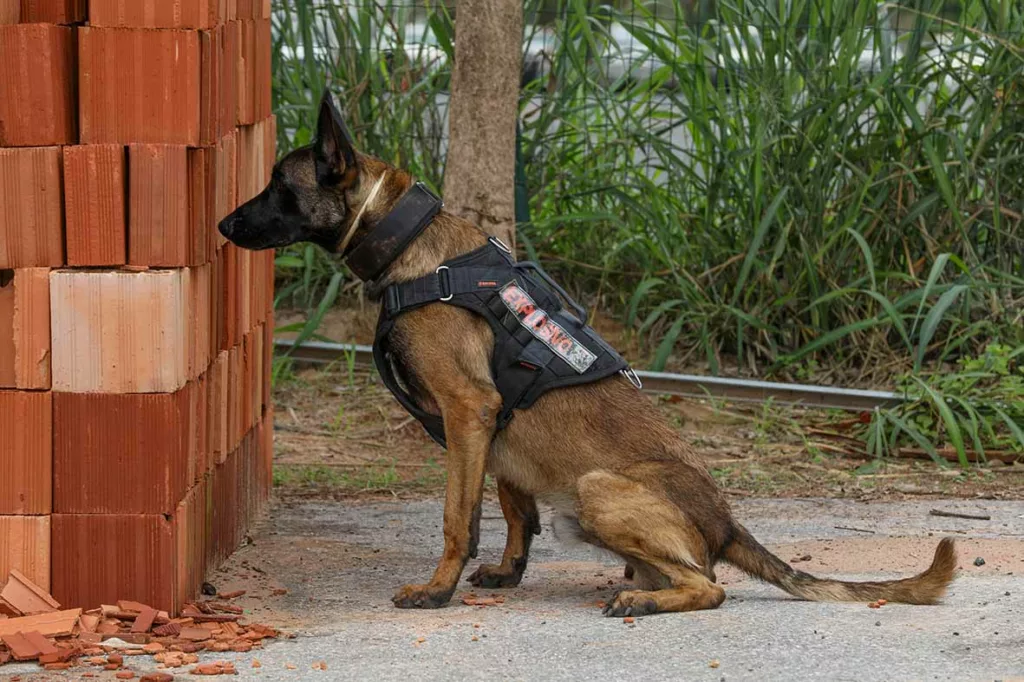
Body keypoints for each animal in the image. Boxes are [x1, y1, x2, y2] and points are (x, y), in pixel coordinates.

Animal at [220, 91, 954, 614]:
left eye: (279, 187)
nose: (224, 224)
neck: (412, 245)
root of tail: (727, 522)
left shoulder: (467, 410)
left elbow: (459, 518)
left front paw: (437, 588)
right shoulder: (496, 429)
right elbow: (515, 510)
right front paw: (508, 571)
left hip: (598, 489)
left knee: (712, 585)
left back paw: (645, 600)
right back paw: (641, 587)